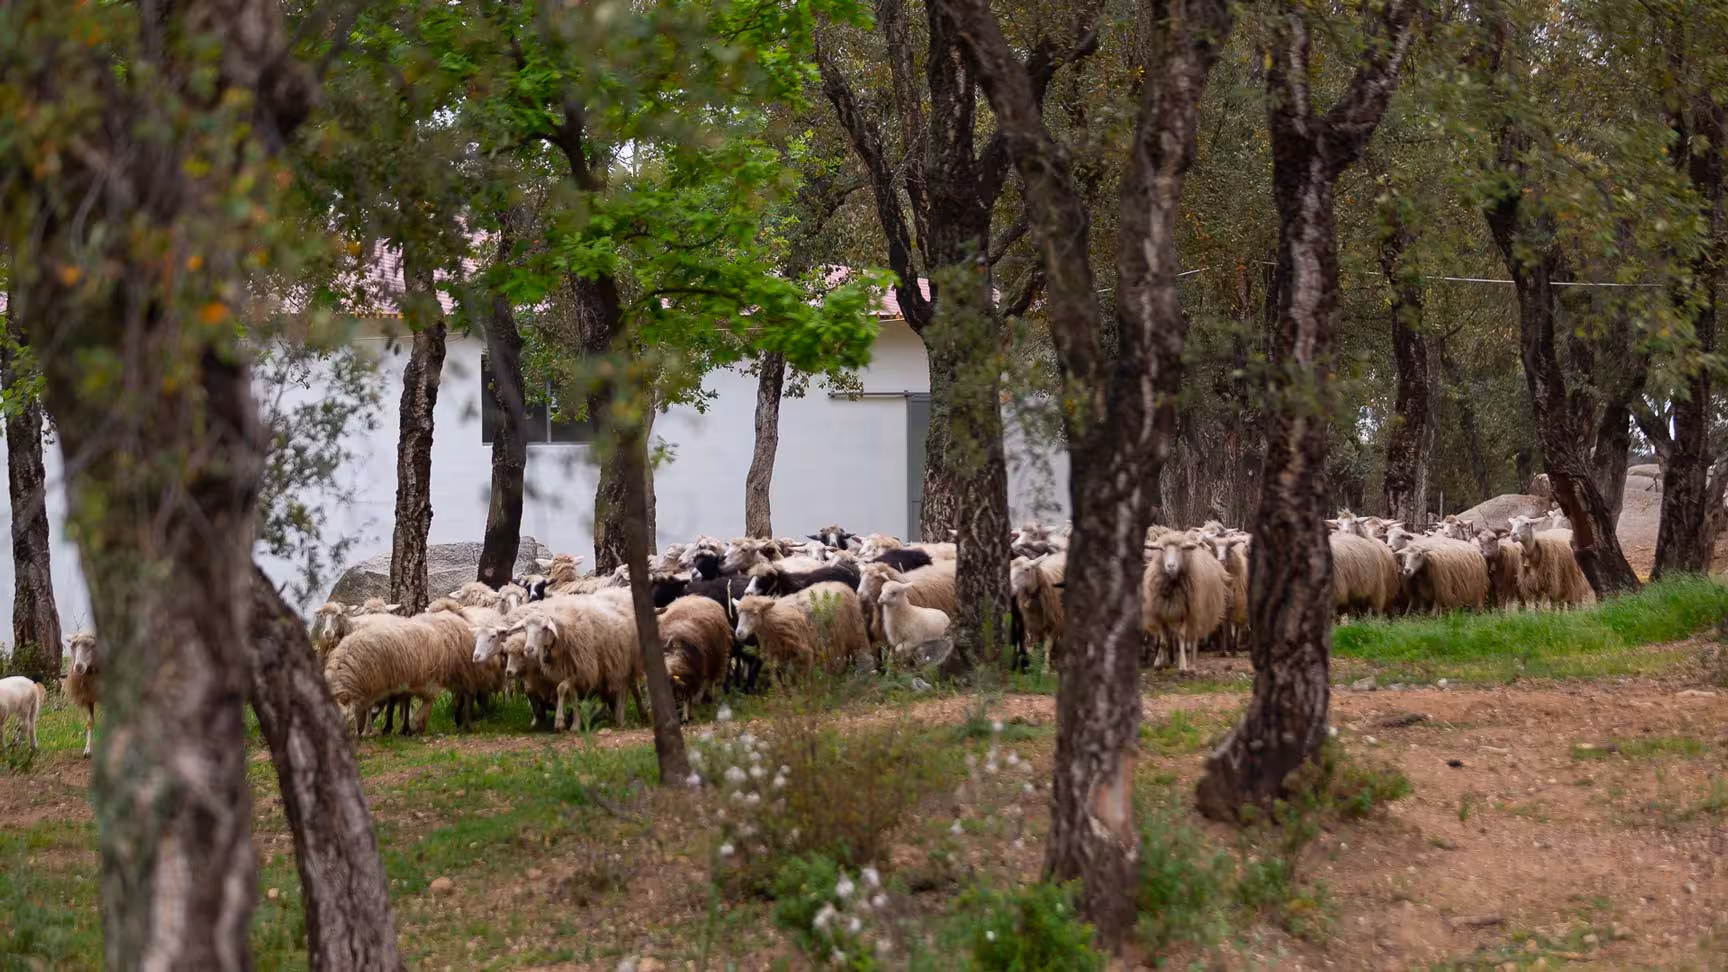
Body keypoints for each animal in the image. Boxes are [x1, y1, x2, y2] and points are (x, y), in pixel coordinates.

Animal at [64, 629, 99, 758]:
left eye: (92, 645)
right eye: (72, 646)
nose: (78, 666)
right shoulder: (89, 697)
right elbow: (90, 722)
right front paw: (88, 750)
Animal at [733, 582, 871, 678]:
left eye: (755, 613)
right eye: (738, 613)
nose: (739, 633)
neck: (776, 616)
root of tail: (842, 584)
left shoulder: (804, 653)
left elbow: (801, 678)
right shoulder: (779, 655)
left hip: (854, 631)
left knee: (861, 652)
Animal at [1140, 537, 1229, 673]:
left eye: (1180, 549)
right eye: (1162, 550)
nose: (1170, 566)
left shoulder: (1186, 613)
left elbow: (1181, 636)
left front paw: (1182, 666)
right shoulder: (1161, 613)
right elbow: (1163, 642)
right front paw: (1160, 664)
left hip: (1197, 613)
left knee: (1193, 638)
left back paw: (1192, 665)